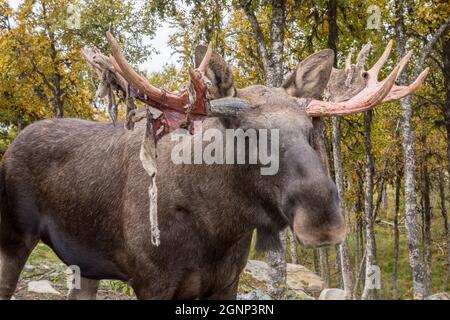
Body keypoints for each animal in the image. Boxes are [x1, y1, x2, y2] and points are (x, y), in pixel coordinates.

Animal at [0, 31, 428, 298]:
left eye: (311, 130)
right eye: (244, 132)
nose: (322, 215)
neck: (218, 229)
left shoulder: (226, 282)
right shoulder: (152, 282)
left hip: (85, 262)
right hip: (13, 238)